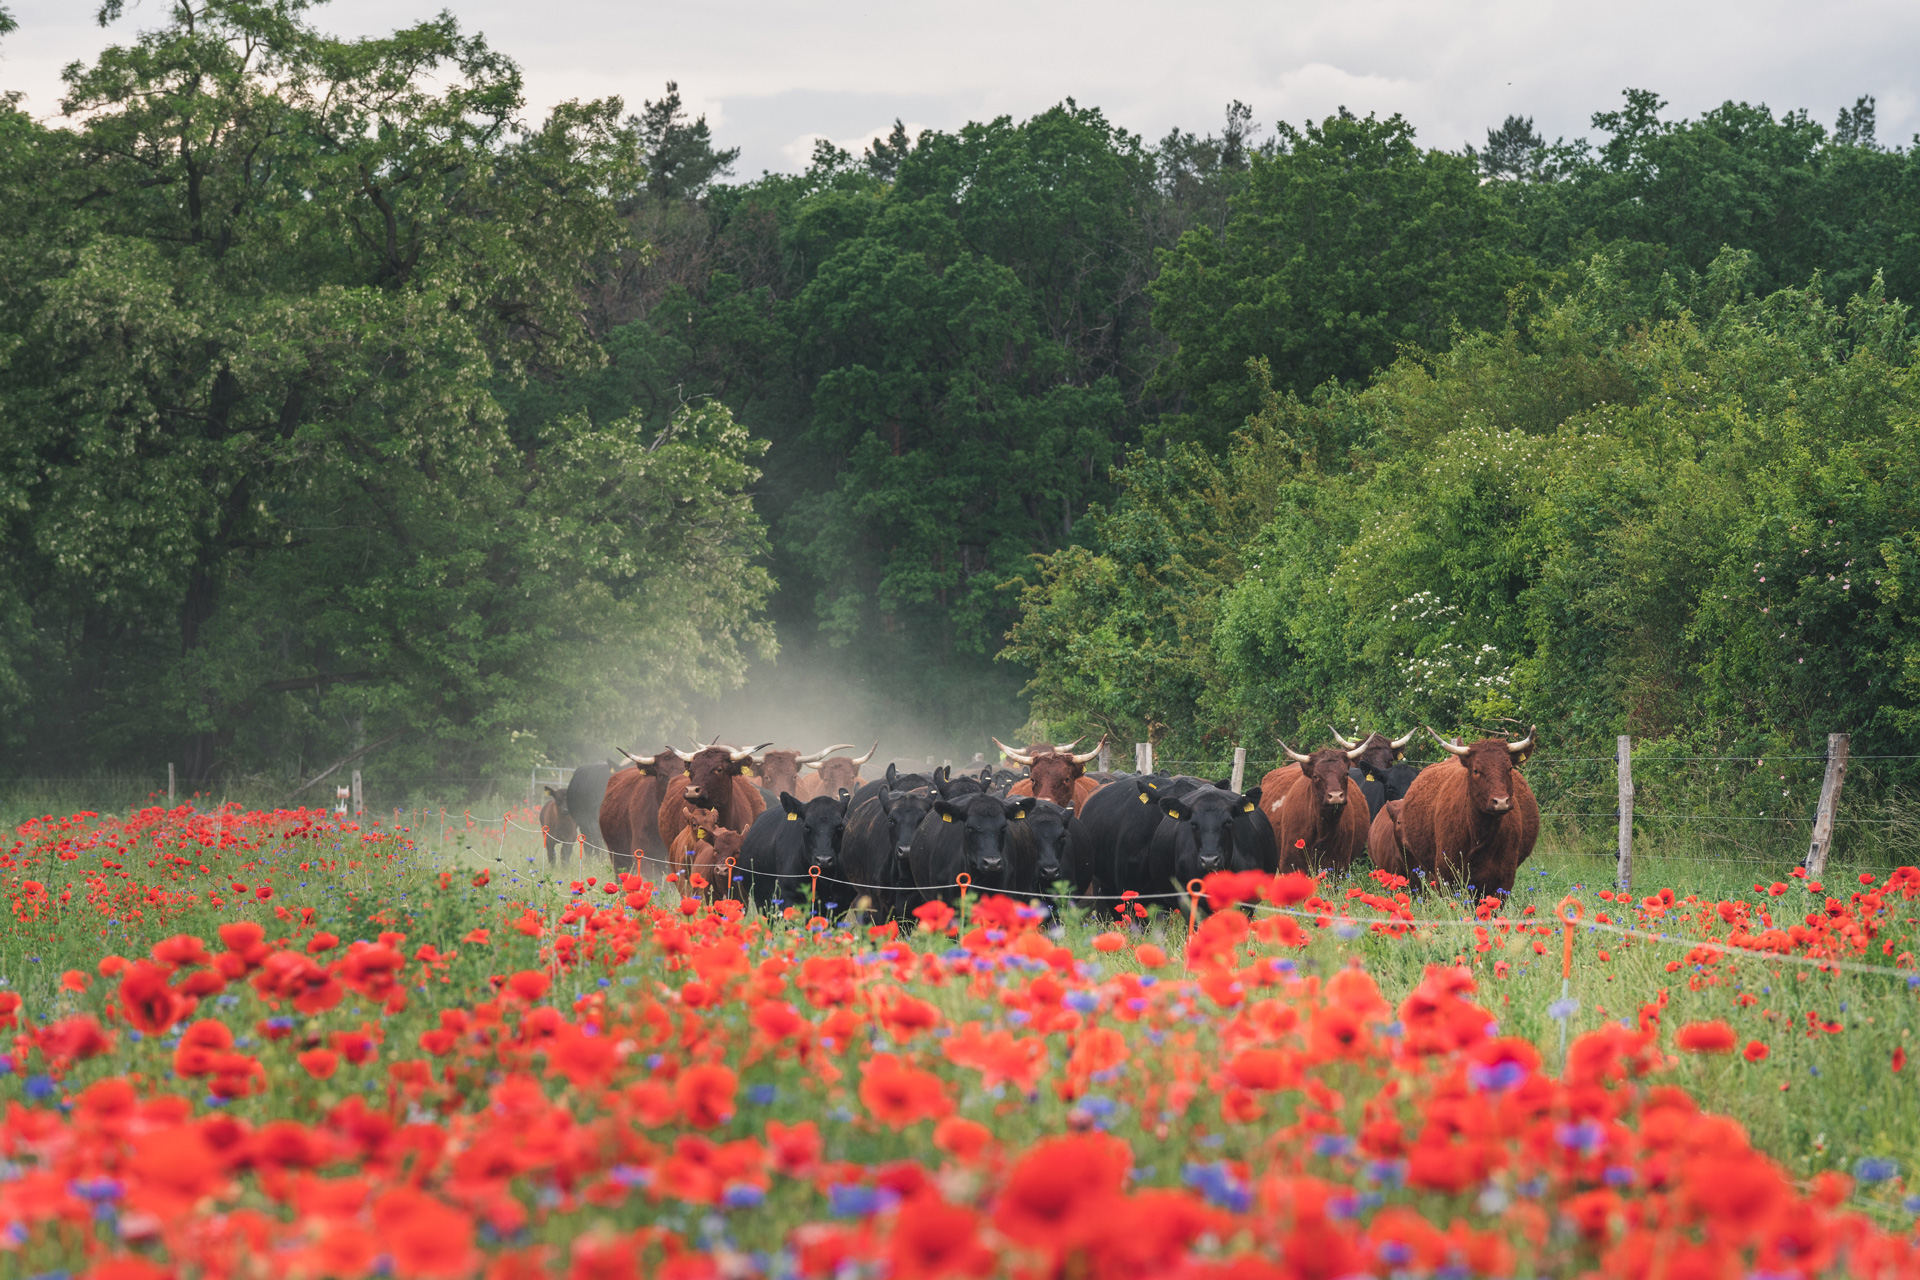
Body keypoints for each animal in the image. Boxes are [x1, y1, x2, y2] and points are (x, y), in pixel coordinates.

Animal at [1390, 725, 1536, 898]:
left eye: (1509, 768)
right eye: (1476, 770)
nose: (1501, 801)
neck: (1481, 834)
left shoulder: (1504, 880)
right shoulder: (1446, 876)